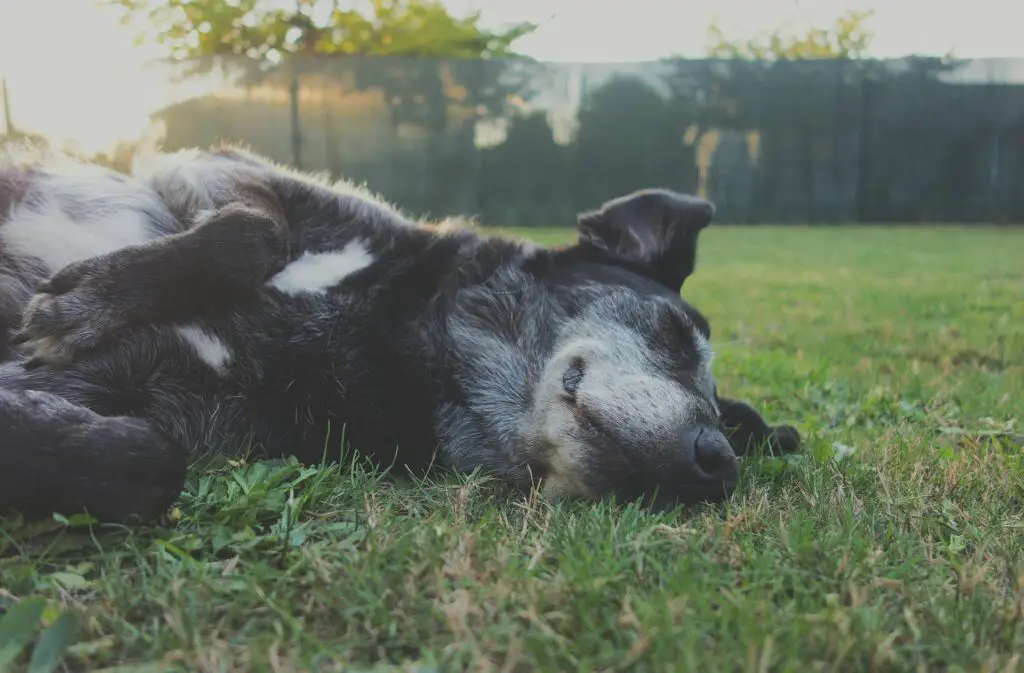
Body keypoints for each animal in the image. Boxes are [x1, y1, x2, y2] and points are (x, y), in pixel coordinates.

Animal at [0, 144, 798, 522]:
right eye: (674, 332)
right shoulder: (216, 166)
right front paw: (80, 302)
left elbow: (146, 461)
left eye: (727, 422)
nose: (717, 465)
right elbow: (253, 235)